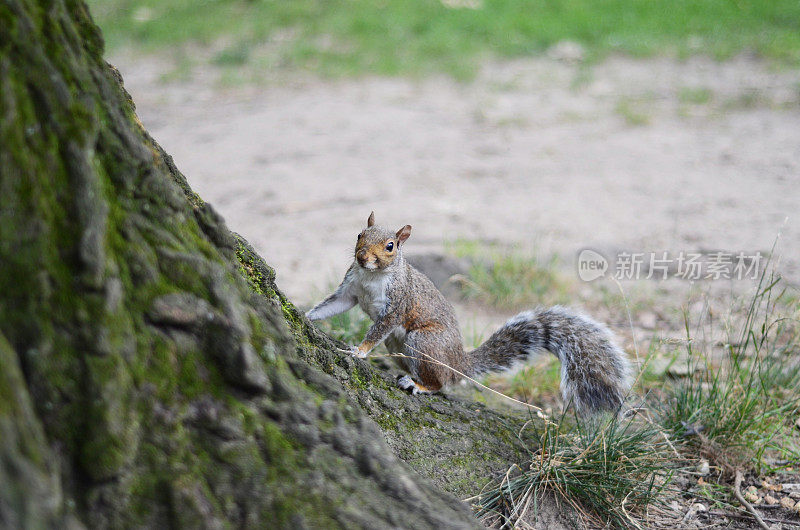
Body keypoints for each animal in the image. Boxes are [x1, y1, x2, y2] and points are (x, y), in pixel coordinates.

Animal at [306, 210, 632, 412]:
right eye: (360, 234)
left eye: (390, 246)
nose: (362, 257)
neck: (371, 277)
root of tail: (458, 363)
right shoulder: (350, 290)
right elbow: (332, 305)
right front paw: (308, 316)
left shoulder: (397, 305)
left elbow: (378, 329)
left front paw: (359, 350)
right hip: (399, 346)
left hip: (423, 341)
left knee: (441, 383)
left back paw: (420, 385)